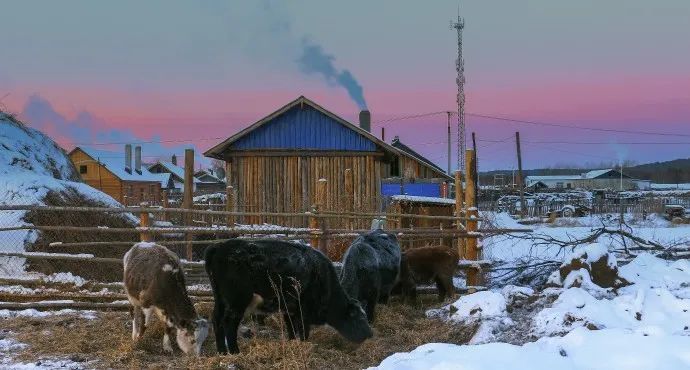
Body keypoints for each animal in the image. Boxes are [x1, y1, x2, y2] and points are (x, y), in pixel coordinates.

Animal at [204, 238, 370, 354]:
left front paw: (292, 342)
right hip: (237, 302)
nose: (370, 333)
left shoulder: (289, 308)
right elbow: (303, 331)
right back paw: (234, 352)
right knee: (229, 323)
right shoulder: (303, 310)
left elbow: (291, 329)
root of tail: (219, 247)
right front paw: (303, 345)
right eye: (360, 318)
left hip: (220, 300)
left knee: (217, 320)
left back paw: (222, 352)